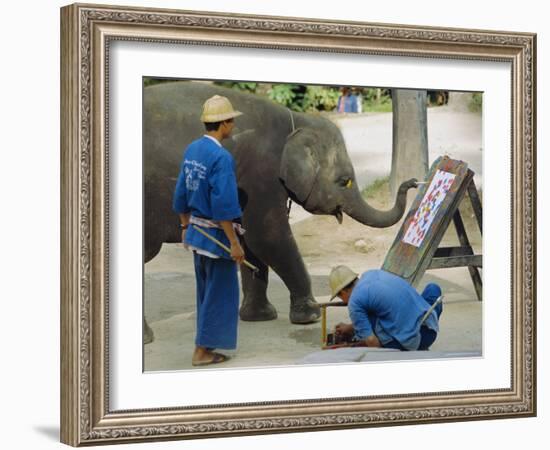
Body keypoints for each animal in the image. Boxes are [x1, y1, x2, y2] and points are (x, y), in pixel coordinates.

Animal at [143, 81, 418, 326]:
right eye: (344, 181)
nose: (413, 182)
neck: (297, 121)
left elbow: (249, 242)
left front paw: (259, 317)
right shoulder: (259, 173)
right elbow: (267, 236)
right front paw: (310, 316)